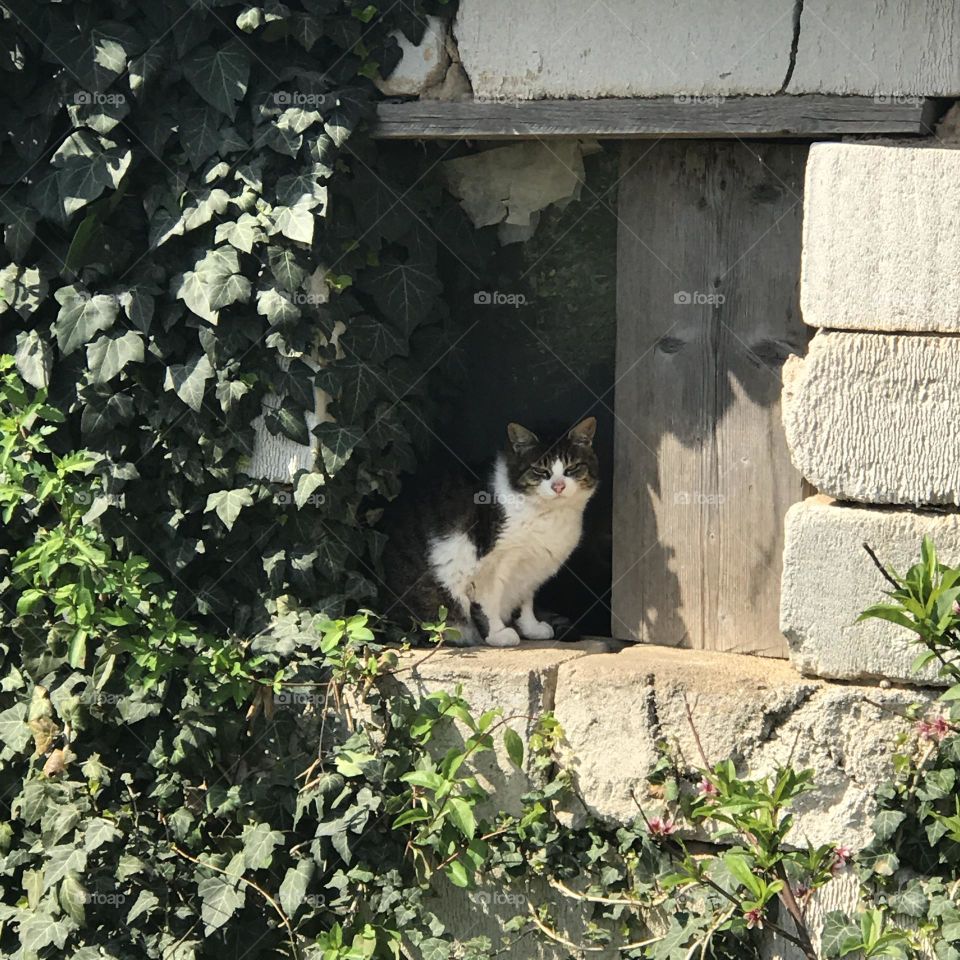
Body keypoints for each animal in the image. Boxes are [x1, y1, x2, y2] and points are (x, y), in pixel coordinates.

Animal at [380, 418, 592, 648]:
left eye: (572, 468)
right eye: (539, 470)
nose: (558, 486)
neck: (549, 514)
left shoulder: (529, 566)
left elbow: (525, 600)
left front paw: (532, 628)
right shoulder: (491, 563)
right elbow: (488, 602)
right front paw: (498, 634)